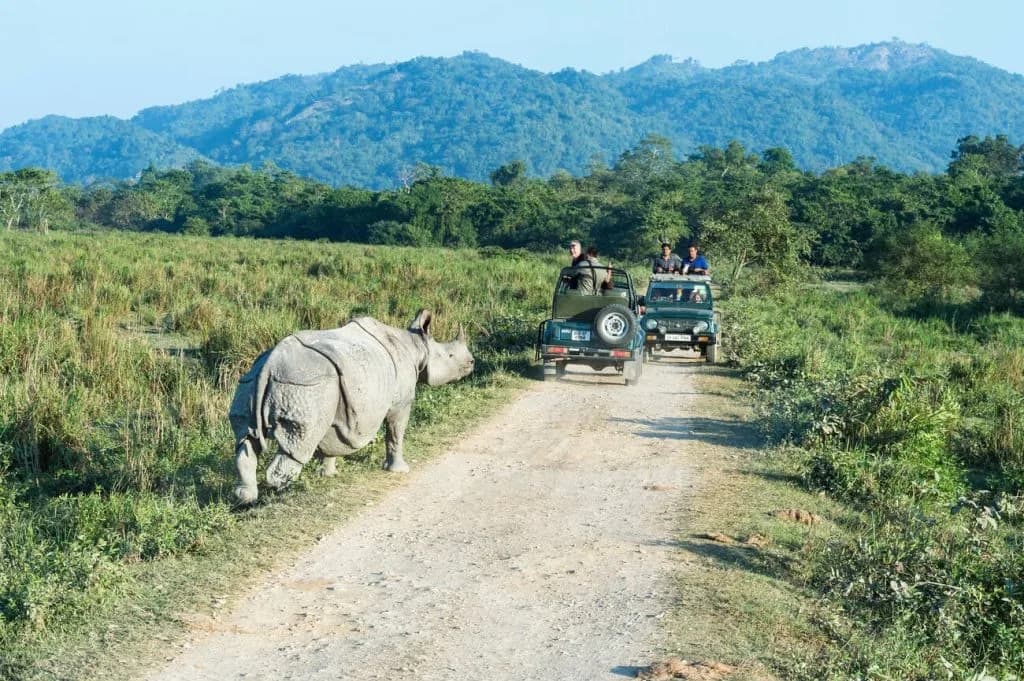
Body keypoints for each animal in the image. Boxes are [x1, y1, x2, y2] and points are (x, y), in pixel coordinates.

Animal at [229, 309, 474, 504]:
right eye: (450, 355)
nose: (472, 363)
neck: (417, 347)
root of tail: (270, 364)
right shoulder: (400, 402)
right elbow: (396, 433)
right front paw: (399, 470)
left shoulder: (337, 406)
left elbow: (330, 442)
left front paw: (328, 474)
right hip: (305, 386)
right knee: (298, 446)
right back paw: (282, 496)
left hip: (253, 382)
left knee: (246, 441)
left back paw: (246, 499)